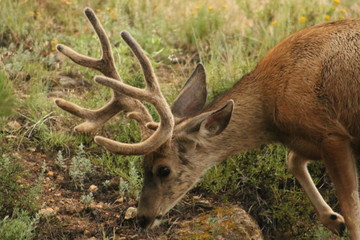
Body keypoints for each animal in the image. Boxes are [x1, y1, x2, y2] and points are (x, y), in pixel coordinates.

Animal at [54, 7, 360, 238]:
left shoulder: (330, 133)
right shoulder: (312, 138)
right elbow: (293, 161)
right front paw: (333, 220)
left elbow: (352, 209)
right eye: (142, 165)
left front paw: (341, 220)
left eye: (163, 169)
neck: (270, 105)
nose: (142, 217)